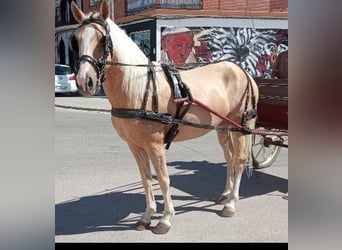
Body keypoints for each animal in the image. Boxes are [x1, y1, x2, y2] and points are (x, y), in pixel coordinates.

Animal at [71, 0, 260, 234]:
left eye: (103, 39)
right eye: (76, 40)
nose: (84, 81)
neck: (140, 88)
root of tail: (241, 70)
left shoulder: (155, 144)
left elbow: (163, 178)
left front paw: (165, 218)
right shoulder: (135, 145)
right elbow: (145, 178)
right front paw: (146, 216)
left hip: (241, 125)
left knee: (240, 160)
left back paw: (232, 203)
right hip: (224, 127)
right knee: (230, 159)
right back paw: (225, 194)